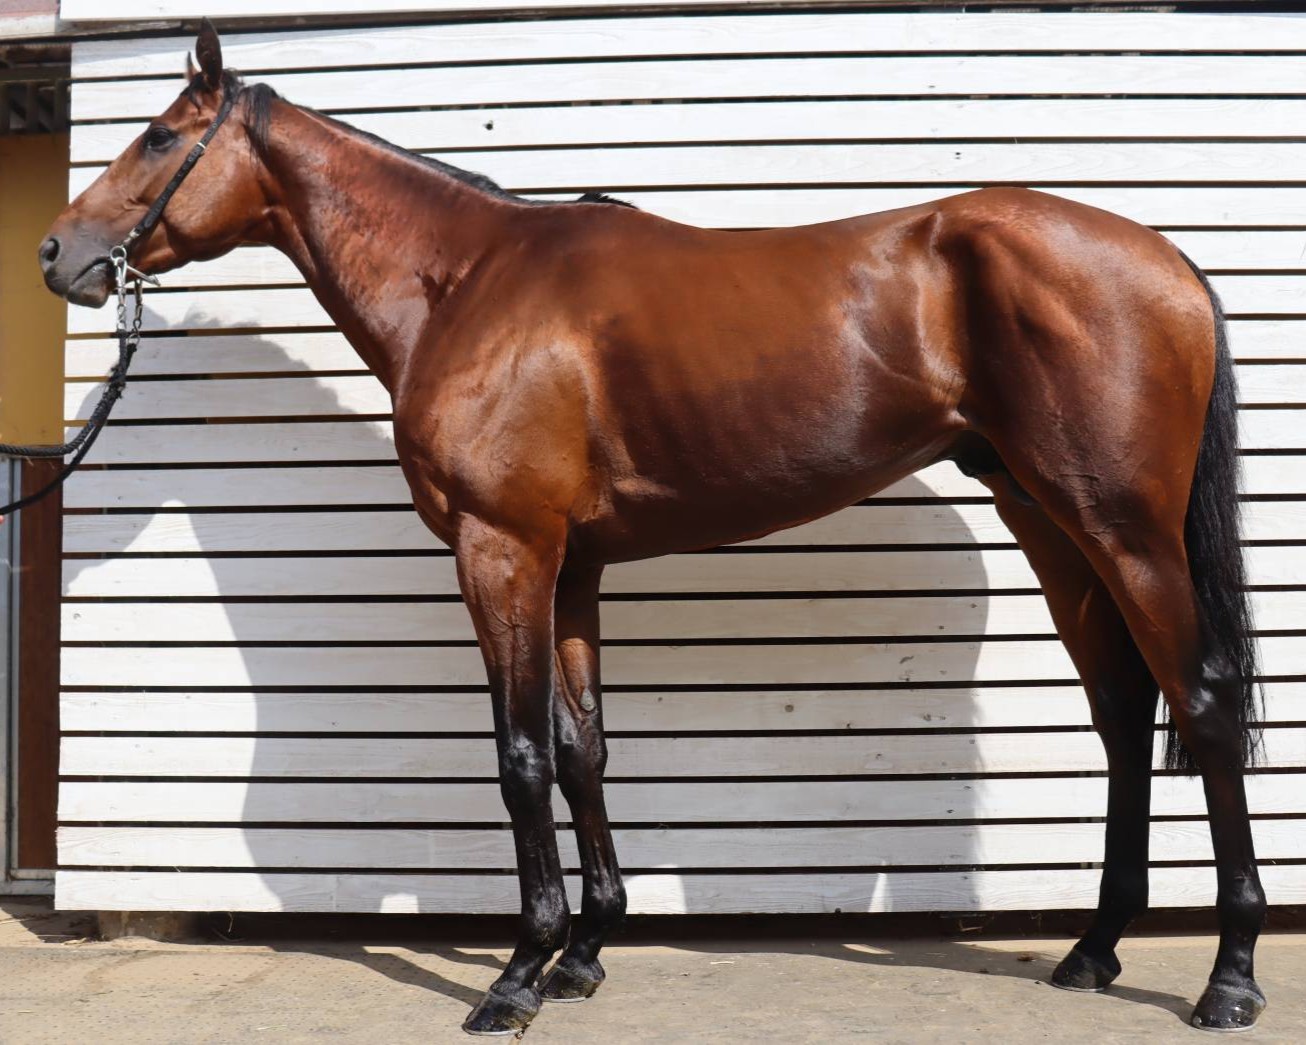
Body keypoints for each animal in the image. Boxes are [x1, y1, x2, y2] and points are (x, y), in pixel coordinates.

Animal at [41, 22, 1268, 1037]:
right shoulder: (573, 563)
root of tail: (1164, 257)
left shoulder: (502, 549)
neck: (466, 283)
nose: (60, 256)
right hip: (1049, 521)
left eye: (158, 137)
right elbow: (585, 746)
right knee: (1123, 712)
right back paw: (1093, 949)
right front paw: (586, 949)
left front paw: (517, 975)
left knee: (1203, 700)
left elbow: (522, 756)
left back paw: (1229, 975)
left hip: (1124, 528)